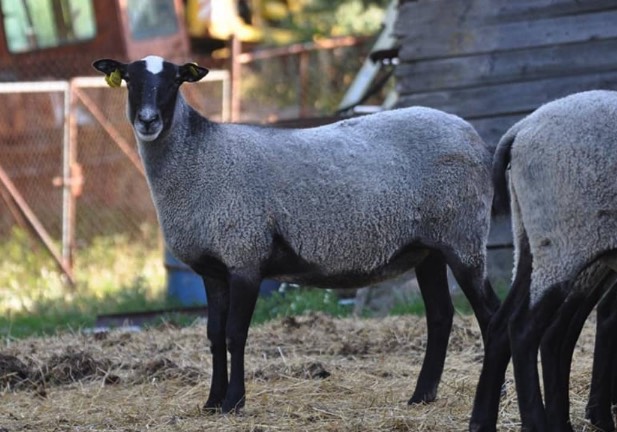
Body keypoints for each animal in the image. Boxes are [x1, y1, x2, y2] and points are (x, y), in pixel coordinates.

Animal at [91, 55, 500, 414]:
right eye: (129, 80)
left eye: (175, 81)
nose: (147, 121)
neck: (200, 157)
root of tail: (473, 137)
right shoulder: (213, 268)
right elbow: (214, 335)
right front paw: (210, 403)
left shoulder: (245, 255)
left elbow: (235, 334)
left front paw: (233, 403)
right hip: (429, 247)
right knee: (441, 315)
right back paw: (421, 396)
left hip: (464, 236)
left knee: (490, 312)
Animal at [470, 90, 616, 432]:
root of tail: (522, 129)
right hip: (564, 240)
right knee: (526, 330)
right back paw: (542, 422)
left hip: (533, 241)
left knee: (504, 325)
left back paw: (483, 422)